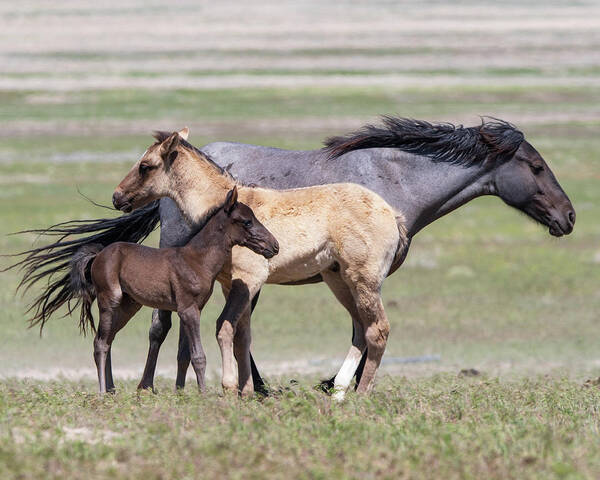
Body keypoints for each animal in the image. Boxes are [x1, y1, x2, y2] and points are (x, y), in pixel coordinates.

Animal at [68, 186, 278, 392]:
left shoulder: (192, 309)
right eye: (247, 222)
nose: (274, 246)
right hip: (109, 300)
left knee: (108, 339)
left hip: (128, 306)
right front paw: (203, 395)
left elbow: (188, 354)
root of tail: (98, 255)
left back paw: (111, 391)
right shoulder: (188, 309)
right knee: (100, 344)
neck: (197, 261)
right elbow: (199, 356)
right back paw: (103, 392)